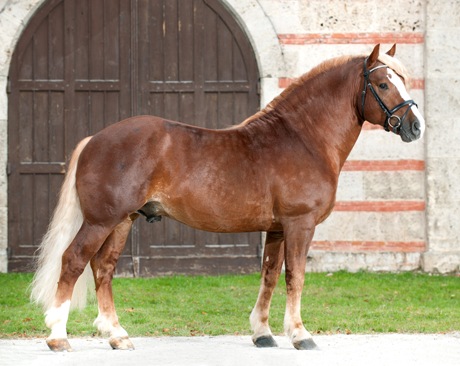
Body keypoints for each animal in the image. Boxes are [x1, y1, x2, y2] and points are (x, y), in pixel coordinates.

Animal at [29, 44, 424, 350]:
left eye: (402, 80)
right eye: (383, 83)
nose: (415, 126)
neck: (301, 138)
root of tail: (95, 139)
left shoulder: (277, 228)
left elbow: (269, 276)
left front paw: (263, 333)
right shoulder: (300, 224)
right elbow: (295, 277)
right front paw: (299, 335)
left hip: (122, 221)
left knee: (104, 269)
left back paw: (117, 335)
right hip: (101, 221)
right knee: (73, 261)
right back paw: (58, 337)